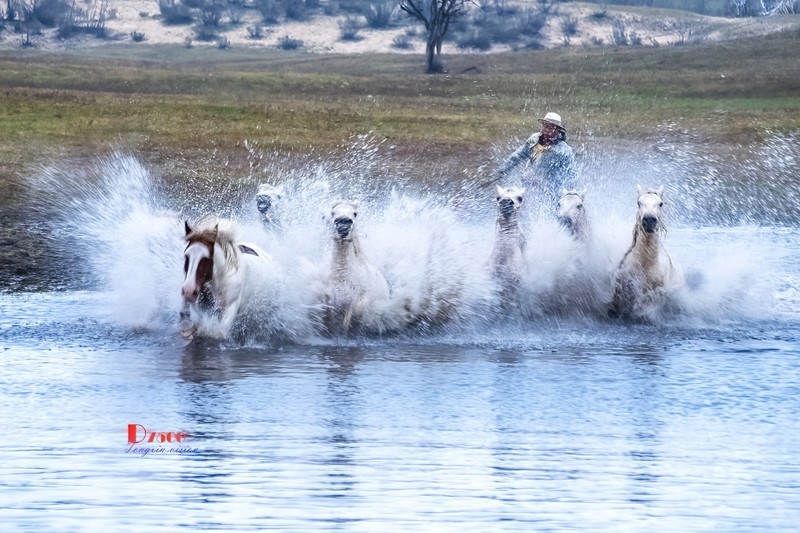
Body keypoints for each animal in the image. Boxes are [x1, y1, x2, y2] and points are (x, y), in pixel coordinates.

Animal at [322, 200, 392, 336]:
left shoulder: (353, 300)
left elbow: (345, 326)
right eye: (333, 212)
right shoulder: (328, 297)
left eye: (355, 213)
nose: (343, 226)